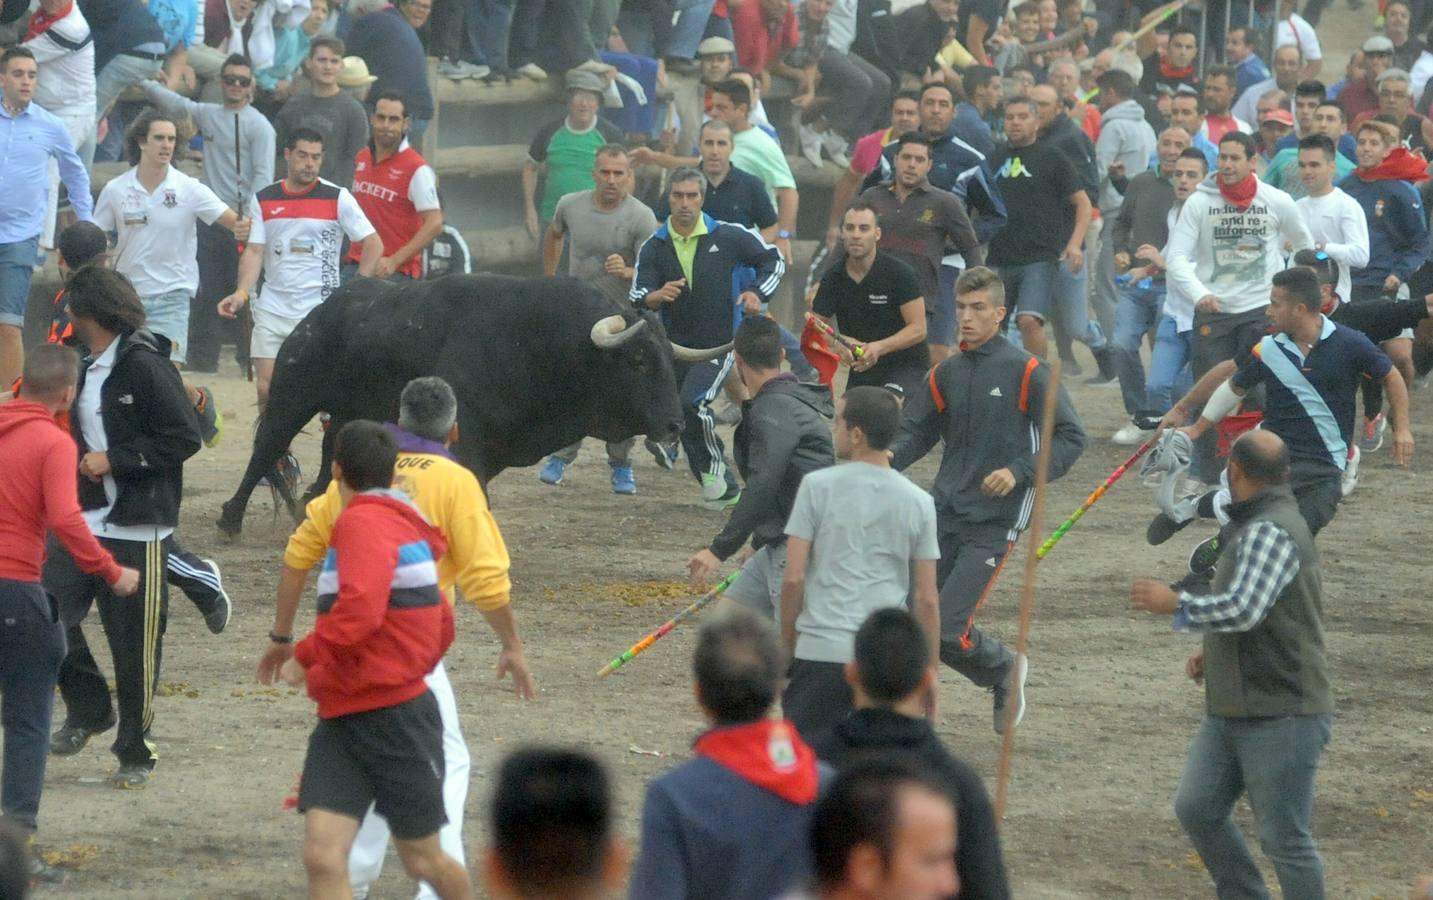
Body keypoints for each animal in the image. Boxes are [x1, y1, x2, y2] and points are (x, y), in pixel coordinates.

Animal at [217, 273, 733, 533]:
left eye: (669, 358)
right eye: (639, 361)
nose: (673, 425)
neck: (547, 342)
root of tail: (319, 313)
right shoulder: (467, 444)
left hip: (349, 414)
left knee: (329, 458)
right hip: (292, 395)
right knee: (266, 447)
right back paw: (231, 519)